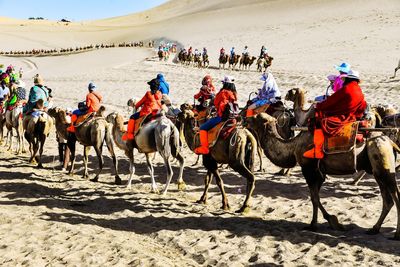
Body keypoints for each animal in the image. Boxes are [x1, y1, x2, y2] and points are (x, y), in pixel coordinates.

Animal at [248, 113, 400, 241]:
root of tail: (390, 142)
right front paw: (328, 222)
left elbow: (314, 198)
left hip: (382, 162)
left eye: (256, 117)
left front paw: (321, 223)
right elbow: (316, 198)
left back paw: (396, 234)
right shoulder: (319, 173)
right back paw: (374, 229)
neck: (293, 146)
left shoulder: (309, 170)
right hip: (377, 169)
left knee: (395, 197)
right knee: (387, 200)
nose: (244, 118)